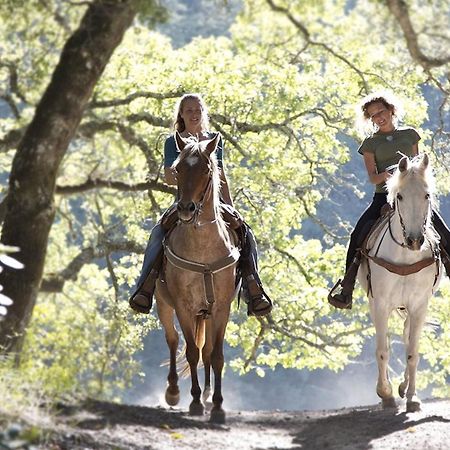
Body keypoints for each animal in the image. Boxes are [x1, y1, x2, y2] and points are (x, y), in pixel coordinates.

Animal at [155, 130, 239, 422]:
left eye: (206, 169)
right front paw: (194, 402)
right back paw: (173, 391)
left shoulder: (222, 308)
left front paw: (217, 405)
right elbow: (191, 351)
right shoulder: (184, 306)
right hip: (164, 304)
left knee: (207, 351)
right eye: (177, 169)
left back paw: (207, 394)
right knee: (172, 340)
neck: (203, 251)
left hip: (206, 313)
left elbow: (216, 356)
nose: (186, 209)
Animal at [360, 154, 442, 412]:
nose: (415, 240)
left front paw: (413, 398)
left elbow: (412, 352)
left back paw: (404, 387)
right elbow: (382, 351)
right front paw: (385, 394)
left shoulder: (419, 305)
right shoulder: (380, 303)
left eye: (427, 195)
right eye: (400, 196)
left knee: (406, 338)